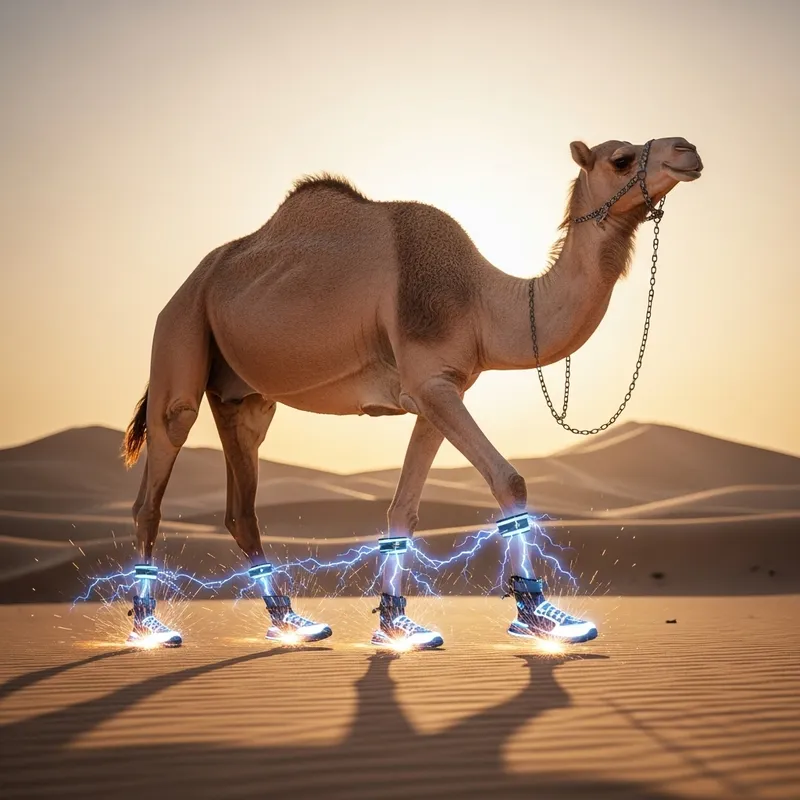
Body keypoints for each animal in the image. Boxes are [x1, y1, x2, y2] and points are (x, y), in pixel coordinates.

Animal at [120, 136, 703, 649]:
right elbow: (509, 480)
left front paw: (396, 626)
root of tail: (185, 286)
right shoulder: (431, 383)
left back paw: (291, 623)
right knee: (155, 482)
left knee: (242, 505)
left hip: (243, 396)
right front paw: (541, 618)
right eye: (621, 158)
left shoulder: (437, 391)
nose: (688, 149)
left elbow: (403, 510)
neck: (482, 300)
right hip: (179, 332)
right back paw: (148, 628)